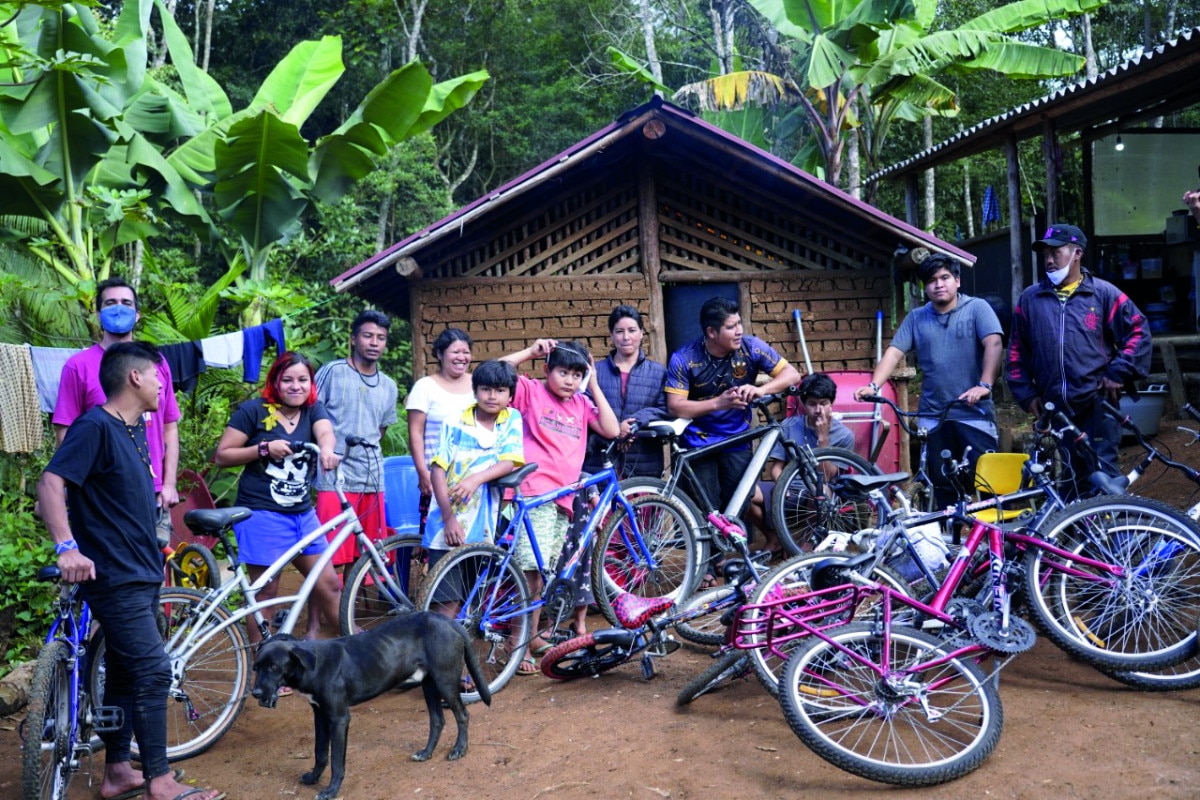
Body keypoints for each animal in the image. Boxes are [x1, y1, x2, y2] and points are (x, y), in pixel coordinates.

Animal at [250, 609, 489, 796]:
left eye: (274, 667)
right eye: (256, 667)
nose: (255, 692)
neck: (314, 665)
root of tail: (447, 620)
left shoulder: (339, 718)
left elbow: (336, 761)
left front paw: (331, 791)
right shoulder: (320, 715)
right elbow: (320, 752)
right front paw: (313, 778)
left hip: (445, 681)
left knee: (462, 715)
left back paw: (459, 749)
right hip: (429, 684)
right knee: (437, 720)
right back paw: (425, 753)